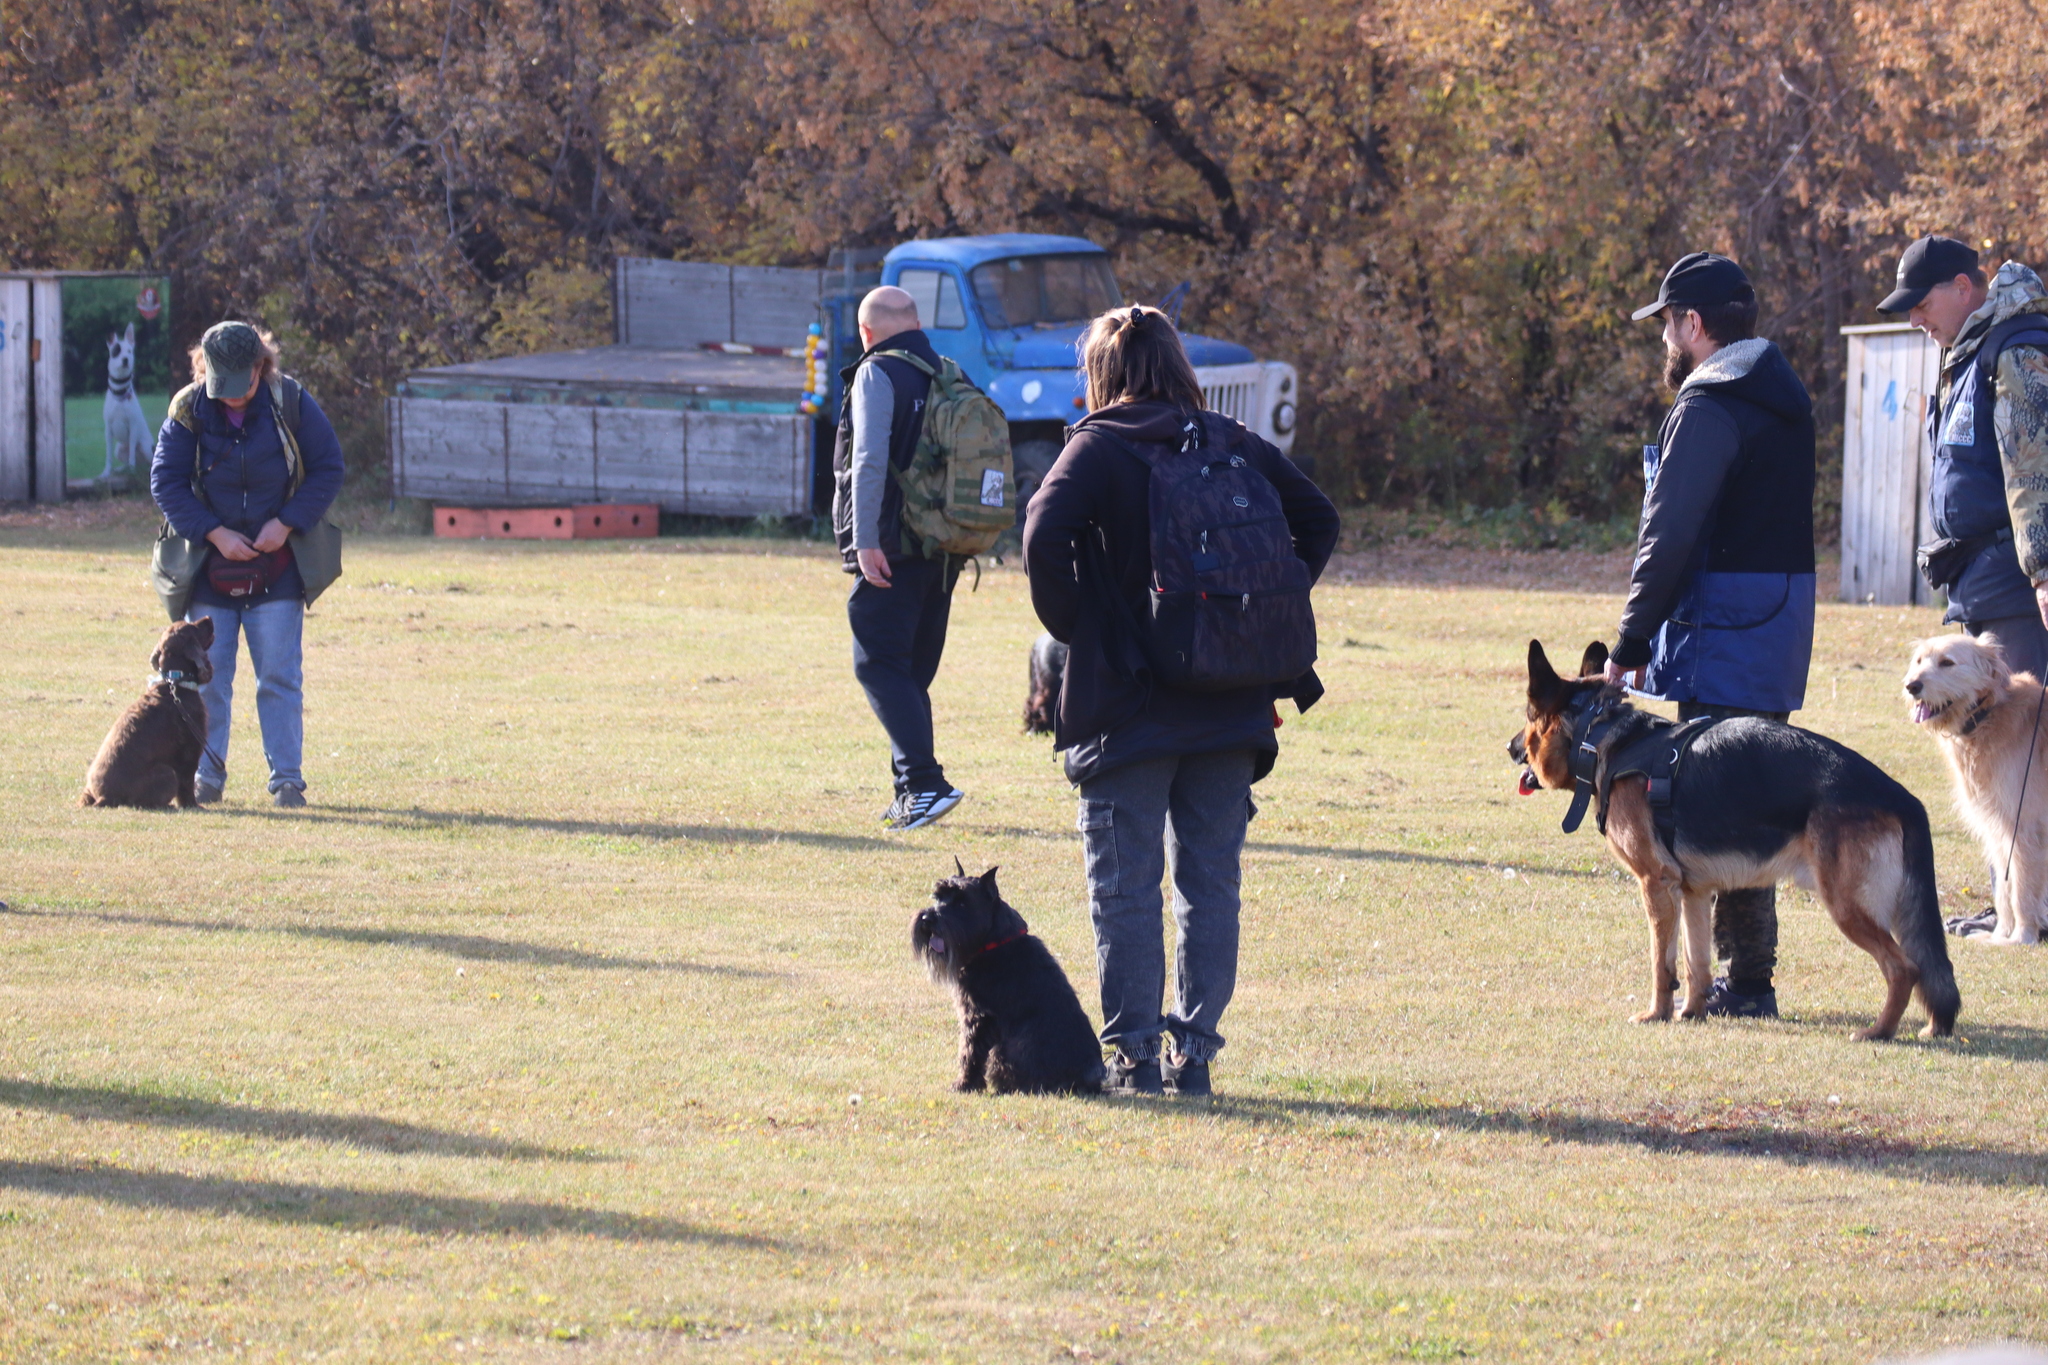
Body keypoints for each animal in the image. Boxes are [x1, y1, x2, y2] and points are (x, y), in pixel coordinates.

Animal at [81, 622, 216, 810]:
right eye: (194, 627)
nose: (209, 618)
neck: (175, 684)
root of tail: (104, 797)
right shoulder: (189, 752)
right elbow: (187, 785)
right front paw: (193, 805)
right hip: (167, 772)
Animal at [913, 863, 1105, 1096]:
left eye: (962, 902)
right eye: (938, 896)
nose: (927, 919)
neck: (993, 942)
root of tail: (1091, 1081)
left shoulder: (978, 1017)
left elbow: (969, 1053)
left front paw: (964, 1084)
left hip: (1009, 1049)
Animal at [1515, 638, 1957, 1035]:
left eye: (1528, 717)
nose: (1509, 746)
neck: (1599, 736)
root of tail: (1903, 797)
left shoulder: (1655, 883)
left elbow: (1662, 962)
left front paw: (1657, 1013)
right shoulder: (1692, 891)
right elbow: (1696, 961)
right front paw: (1691, 1012)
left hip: (1846, 904)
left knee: (1904, 968)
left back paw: (1878, 1031)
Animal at [1900, 634, 2048, 945]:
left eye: (1947, 662)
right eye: (1919, 660)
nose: (1911, 686)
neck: (1987, 714)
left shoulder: (2026, 827)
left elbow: (2023, 888)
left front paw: (2021, 937)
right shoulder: (1998, 827)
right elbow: (2004, 887)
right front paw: (2000, 934)